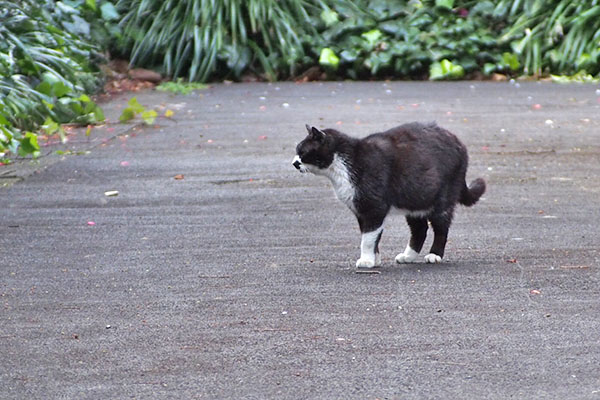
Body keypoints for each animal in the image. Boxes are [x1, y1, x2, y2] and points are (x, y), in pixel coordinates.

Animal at [292, 122, 486, 268]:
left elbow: (368, 238)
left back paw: (434, 255)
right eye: (297, 150)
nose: (294, 163)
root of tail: (459, 143)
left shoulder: (373, 208)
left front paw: (366, 260)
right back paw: (408, 256)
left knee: (441, 228)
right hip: (414, 201)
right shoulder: (361, 212)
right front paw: (375, 259)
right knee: (420, 229)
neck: (341, 166)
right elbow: (372, 237)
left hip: (441, 200)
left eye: (302, 152)